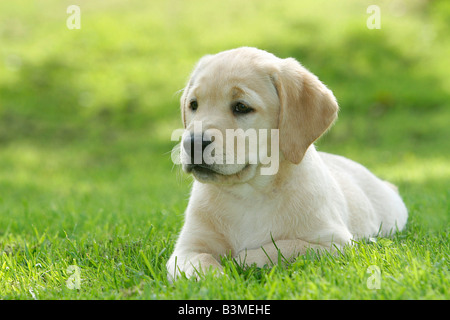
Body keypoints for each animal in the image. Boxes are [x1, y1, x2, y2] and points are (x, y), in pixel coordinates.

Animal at [167, 47, 410, 280]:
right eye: (194, 105)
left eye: (241, 107)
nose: (192, 143)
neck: (249, 194)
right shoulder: (186, 249)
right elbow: (200, 264)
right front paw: (216, 278)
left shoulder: (336, 243)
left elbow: (286, 247)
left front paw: (242, 259)